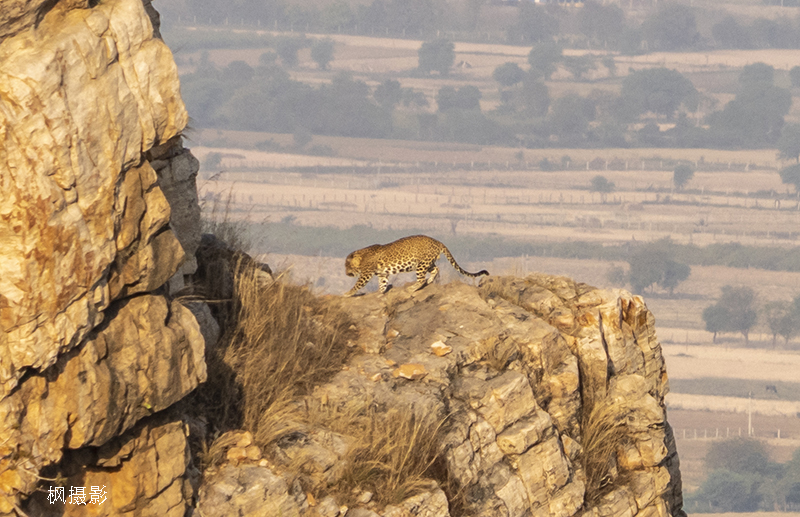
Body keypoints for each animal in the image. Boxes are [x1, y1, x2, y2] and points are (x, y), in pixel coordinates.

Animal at [343, 235, 489, 297]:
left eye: (346, 265)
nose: (345, 273)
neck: (361, 256)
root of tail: (437, 241)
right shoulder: (383, 274)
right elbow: (382, 284)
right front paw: (380, 293)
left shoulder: (366, 273)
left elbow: (357, 284)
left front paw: (348, 293)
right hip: (427, 262)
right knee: (436, 269)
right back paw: (430, 281)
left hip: (421, 264)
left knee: (421, 279)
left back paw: (412, 288)